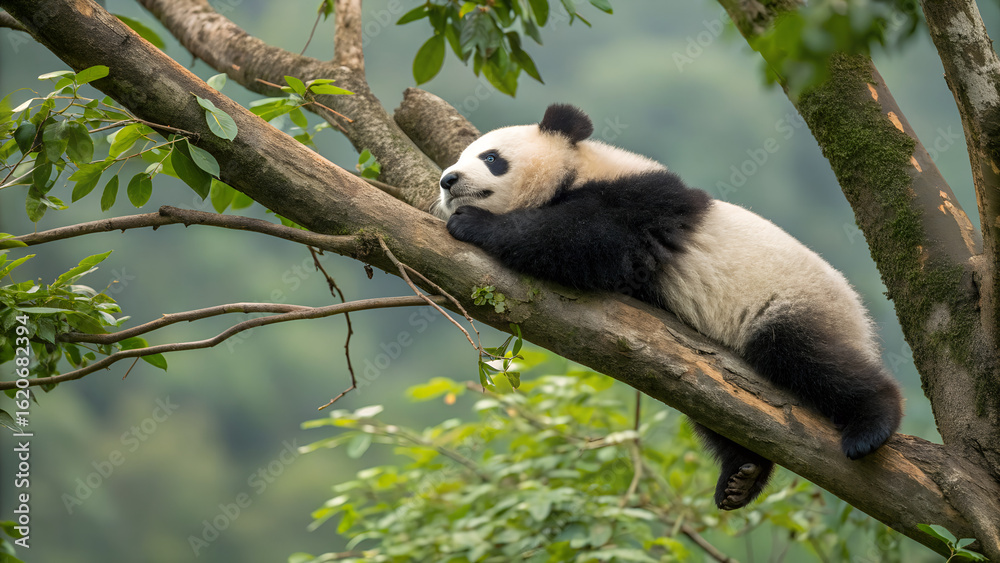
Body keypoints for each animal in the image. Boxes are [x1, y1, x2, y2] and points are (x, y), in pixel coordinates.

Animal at [435, 103, 903, 510]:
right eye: (459, 157)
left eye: (491, 158)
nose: (448, 179)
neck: (582, 168)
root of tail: (862, 322)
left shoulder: (638, 204)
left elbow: (581, 240)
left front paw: (473, 223)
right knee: (721, 413)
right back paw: (741, 476)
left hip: (794, 302)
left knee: (810, 356)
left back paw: (870, 425)